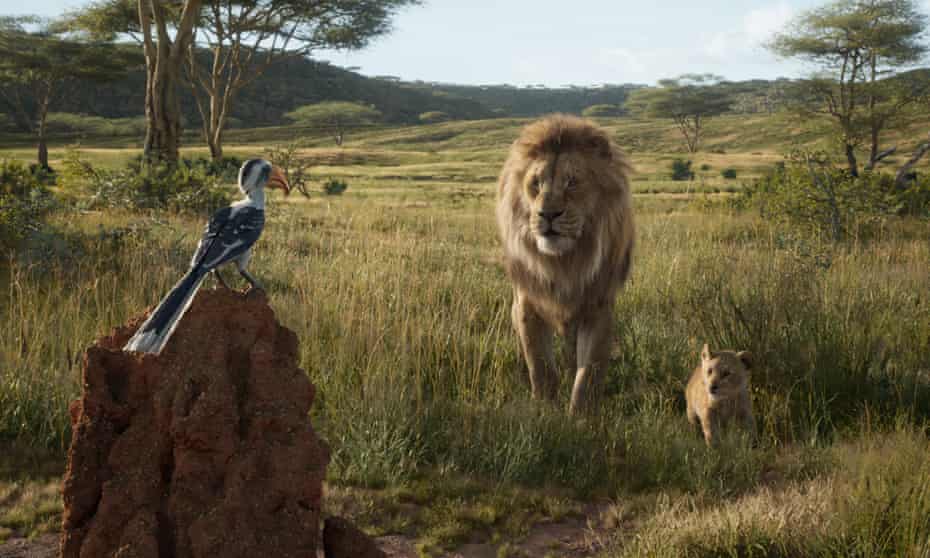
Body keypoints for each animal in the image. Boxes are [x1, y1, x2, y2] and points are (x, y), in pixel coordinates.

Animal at [496, 114, 634, 415]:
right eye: (535, 183)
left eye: (572, 182)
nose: (547, 214)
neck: (565, 262)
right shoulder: (527, 304)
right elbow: (540, 367)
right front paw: (544, 411)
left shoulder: (599, 307)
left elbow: (588, 373)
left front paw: (581, 417)